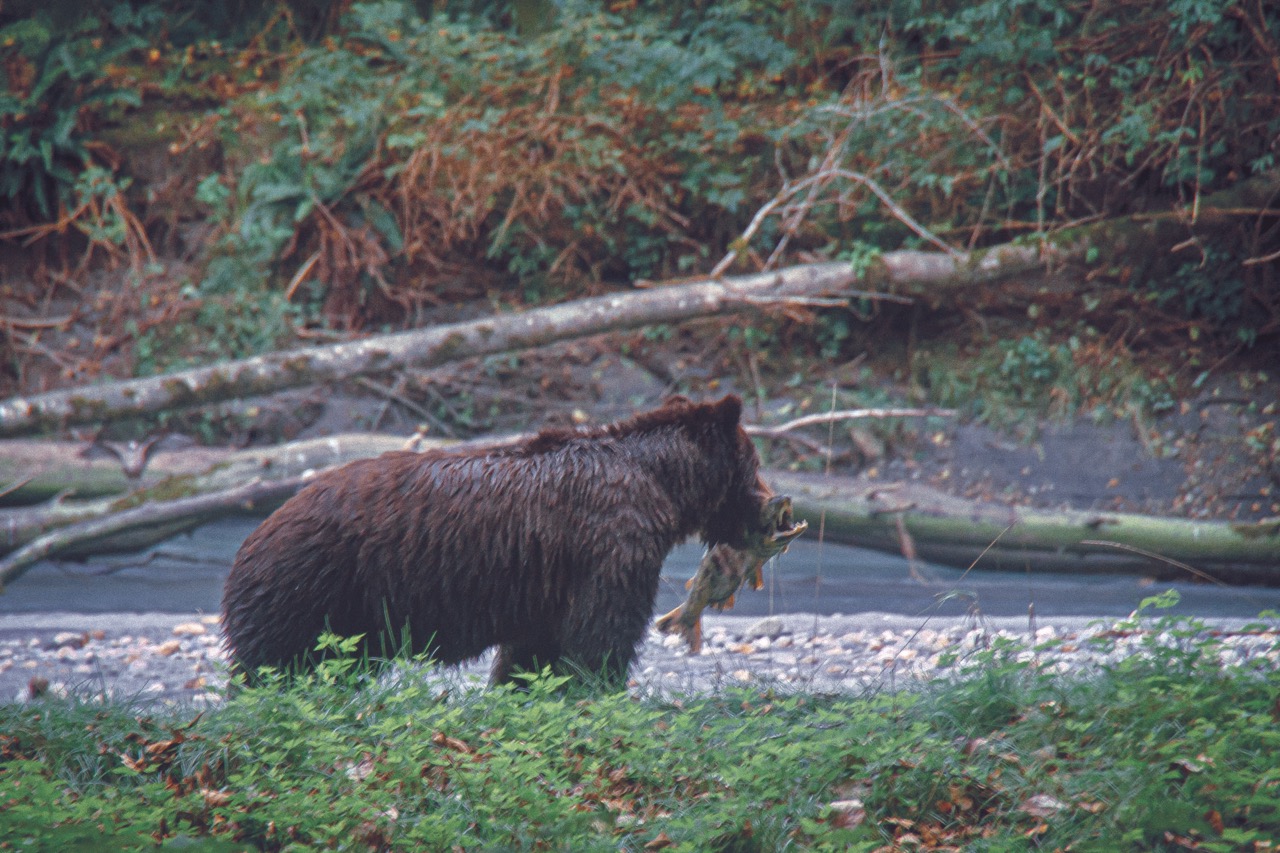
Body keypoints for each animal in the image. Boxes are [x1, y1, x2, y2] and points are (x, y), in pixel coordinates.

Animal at [222, 394, 768, 686]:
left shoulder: (547, 583)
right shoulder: (610, 541)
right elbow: (600, 637)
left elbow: (534, 650)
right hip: (309, 586)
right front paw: (598, 689)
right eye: (755, 463)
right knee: (275, 663)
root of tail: (254, 536)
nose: (769, 507)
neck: (660, 482)